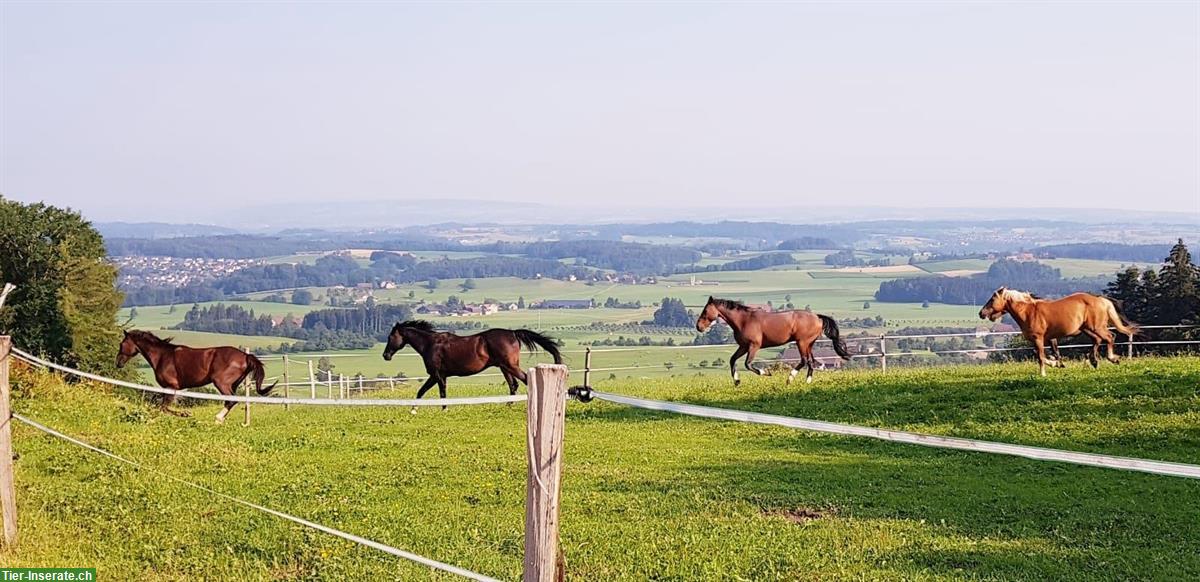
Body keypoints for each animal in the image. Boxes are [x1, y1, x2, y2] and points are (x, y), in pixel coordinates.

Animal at [115, 331, 277, 422]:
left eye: (122, 344)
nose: (118, 363)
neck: (162, 356)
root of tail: (245, 356)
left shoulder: (171, 387)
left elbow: (163, 407)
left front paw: (185, 414)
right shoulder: (167, 389)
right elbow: (161, 406)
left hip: (221, 383)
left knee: (231, 400)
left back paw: (218, 418)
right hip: (234, 384)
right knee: (231, 400)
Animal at [381, 316, 564, 408]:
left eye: (390, 337)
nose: (385, 355)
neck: (430, 344)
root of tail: (512, 333)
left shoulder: (437, 375)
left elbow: (439, 393)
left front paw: (442, 409)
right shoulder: (439, 376)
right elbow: (422, 392)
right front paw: (414, 409)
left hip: (510, 366)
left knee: (525, 380)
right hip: (505, 367)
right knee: (514, 385)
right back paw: (507, 405)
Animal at [696, 295, 854, 386]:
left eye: (705, 311)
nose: (699, 327)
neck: (744, 320)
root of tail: (818, 317)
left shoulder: (753, 346)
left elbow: (748, 364)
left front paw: (766, 373)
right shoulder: (743, 346)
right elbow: (732, 360)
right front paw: (737, 381)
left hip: (802, 342)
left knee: (804, 360)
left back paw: (790, 379)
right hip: (809, 343)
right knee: (810, 360)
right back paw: (807, 381)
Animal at [979, 285, 1137, 376]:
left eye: (992, 299)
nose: (981, 313)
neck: (1029, 312)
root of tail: (1101, 300)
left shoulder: (1039, 338)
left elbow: (1041, 356)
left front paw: (1044, 373)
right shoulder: (1046, 339)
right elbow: (1049, 353)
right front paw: (1057, 364)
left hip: (1096, 327)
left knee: (1110, 337)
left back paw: (1112, 359)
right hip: (1087, 328)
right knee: (1098, 339)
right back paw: (1094, 361)